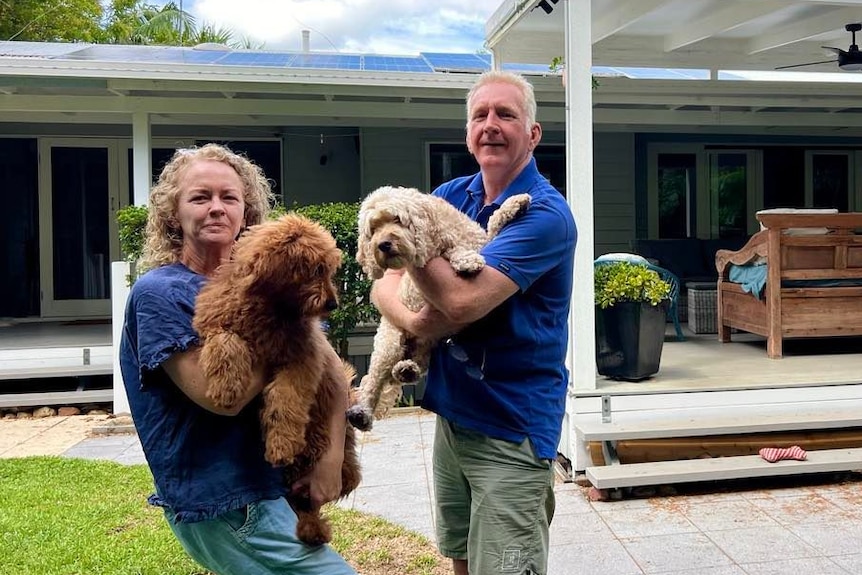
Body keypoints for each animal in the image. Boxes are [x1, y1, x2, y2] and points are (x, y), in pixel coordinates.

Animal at [348, 186, 528, 432]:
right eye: (373, 229)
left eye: (397, 219)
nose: (382, 244)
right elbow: (454, 252)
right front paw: (466, 260)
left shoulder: (482, 240)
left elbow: (492, 223)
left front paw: (515, 203)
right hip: (390, 343)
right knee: (373, 380)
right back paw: (362, 413)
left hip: (427, 343)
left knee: (411, 366)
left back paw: (407, 370)